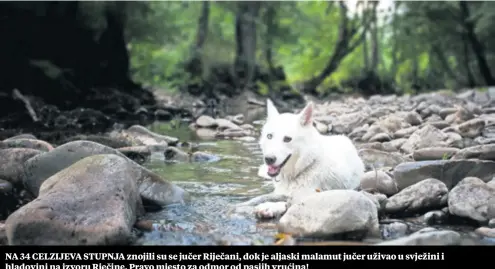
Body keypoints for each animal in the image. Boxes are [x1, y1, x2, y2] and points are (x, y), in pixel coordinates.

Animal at [238, 99, 366, 219]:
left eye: (287, 139)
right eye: (269, 136)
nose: (269, 159)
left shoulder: (311, 196)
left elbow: (290, 203)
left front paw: (270, 207)